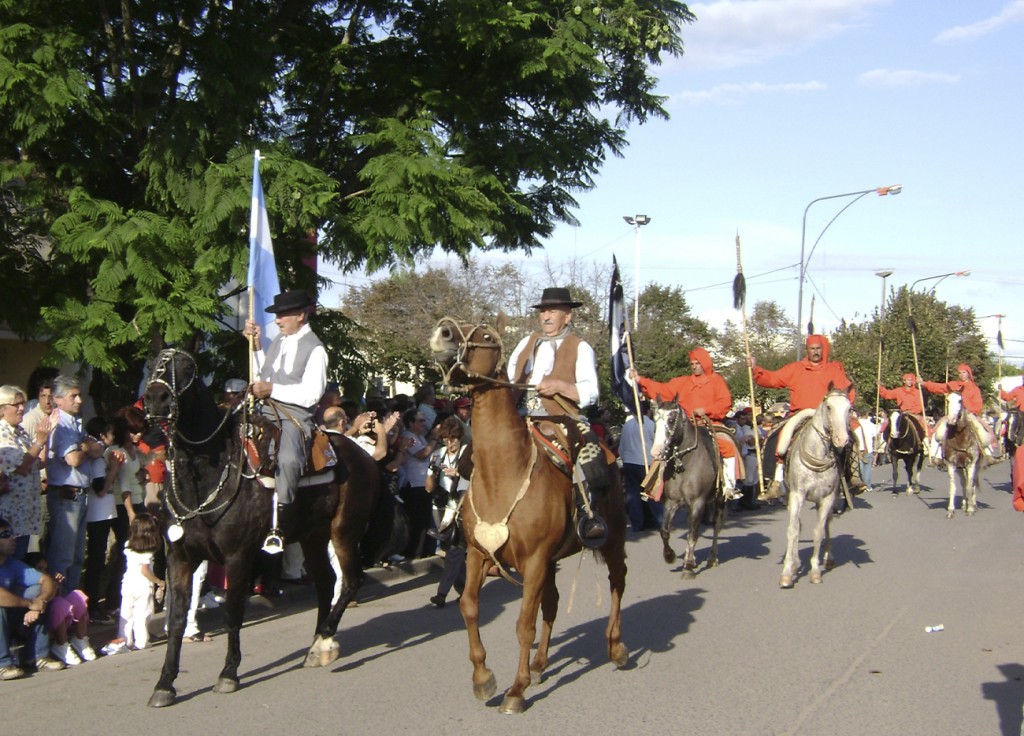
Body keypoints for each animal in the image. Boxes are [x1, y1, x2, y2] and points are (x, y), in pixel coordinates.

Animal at [142, 352, 385, 708]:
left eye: (187, 368)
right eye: (152, 363)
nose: (156, 398)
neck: (205, 477)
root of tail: (363, 454)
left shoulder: (237, 556)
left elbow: (233, 612)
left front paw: (228, 673)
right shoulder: (180, 557)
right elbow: (177, 619)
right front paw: (164, 683)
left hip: (343, 532)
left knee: (351, 581)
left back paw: (325, 641)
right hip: (313, 537)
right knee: (327, 582)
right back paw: (317, 644)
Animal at [428, 315, 626, 712]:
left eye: (485, 336)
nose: (442, 333)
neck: (504, 474)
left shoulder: (533, 560)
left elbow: (523, 624)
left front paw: (516, 691)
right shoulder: (478, 554)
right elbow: (469, 607)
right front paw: (483, 678)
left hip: (612, 539)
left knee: (618, 583)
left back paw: (616, 647)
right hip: (550, 561)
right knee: (552, 602)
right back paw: (539, 664)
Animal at [651, 399, 724, 577]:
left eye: (671, 420)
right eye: (655, 420)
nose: (656, 452)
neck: (686, 462)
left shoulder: (698, 502)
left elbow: (693, 533)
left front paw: (689, 565)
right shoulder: (672, 502)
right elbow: (664, 531)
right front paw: (669, 556)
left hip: (719, 498)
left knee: (716, 525)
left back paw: (712, 558)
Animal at [778, 388, 851, 589]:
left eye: (849, 409)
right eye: (829, 407)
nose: (842, 439)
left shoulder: (827, 498)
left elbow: (818, 532)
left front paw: (815, 571)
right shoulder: (796, 495)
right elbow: (793, 529)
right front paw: (787, 572)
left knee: (826, 524)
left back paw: (828, 558)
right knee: (798, 525)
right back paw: (795, 563)